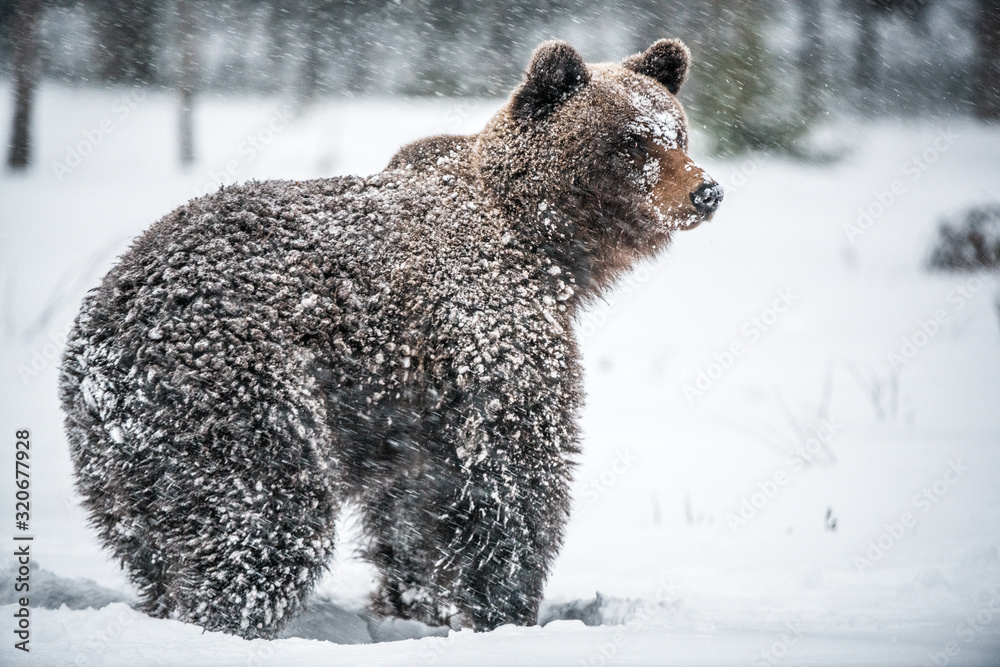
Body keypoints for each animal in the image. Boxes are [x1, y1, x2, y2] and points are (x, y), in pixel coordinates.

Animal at [58, 38, 722, 640]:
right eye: (631, 140)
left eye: (677, 134)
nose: (706, 191)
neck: (545, 246)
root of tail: (100, 341)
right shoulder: (483, 326)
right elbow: (510, 477)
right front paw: (506, 611)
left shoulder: (408, 404)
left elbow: (414, 502)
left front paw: (416, 601)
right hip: (233, 389)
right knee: (265, 520)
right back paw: (226, 619)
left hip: (124, 462)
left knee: (154, 537)